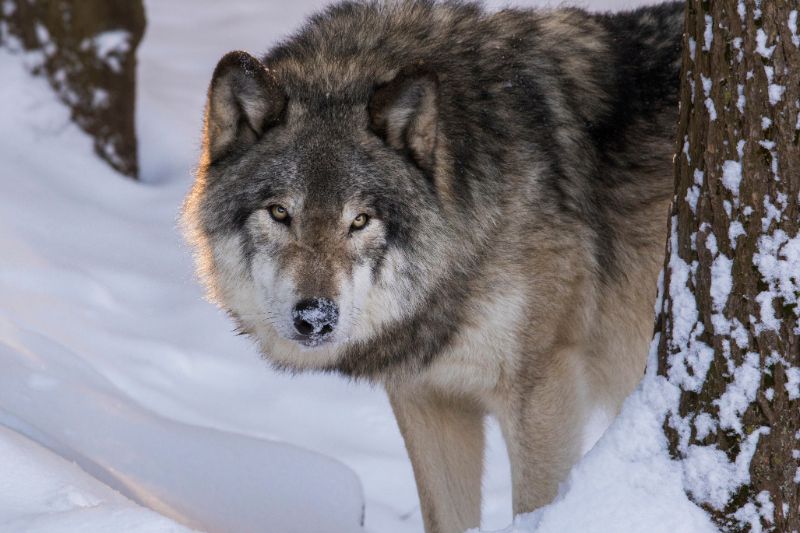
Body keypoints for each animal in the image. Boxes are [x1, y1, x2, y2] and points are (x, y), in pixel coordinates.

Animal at [181, 2, 680, 528]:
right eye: (279, 212)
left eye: (360, 220)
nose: (315, 318)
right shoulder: (428, 398)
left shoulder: (545, 389)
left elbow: (535, 508)